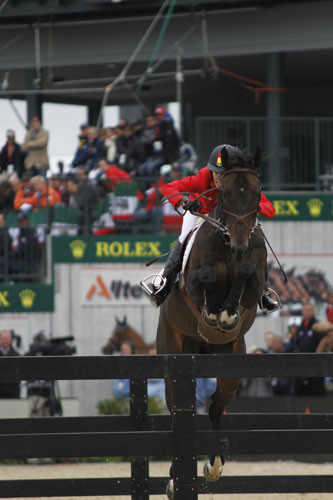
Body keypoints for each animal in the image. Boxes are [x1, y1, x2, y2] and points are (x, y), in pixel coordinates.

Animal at [154, 144, 266, 496]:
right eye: (224, 192)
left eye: (257, 192)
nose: (240, 246)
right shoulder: (192, 285)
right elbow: (203, 279)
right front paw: (215, 311)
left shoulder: (254, 283)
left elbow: (247, 274)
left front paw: (227, 312)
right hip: (173, 352)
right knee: (177, 410)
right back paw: (175, 479)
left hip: (232, 363)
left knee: (216, 407)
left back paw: (213, 466)